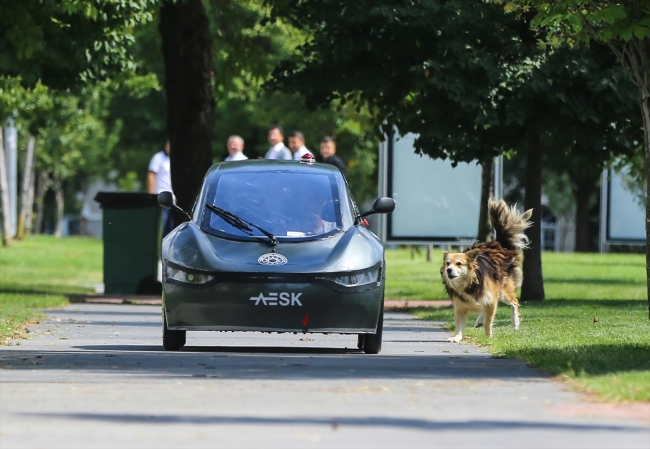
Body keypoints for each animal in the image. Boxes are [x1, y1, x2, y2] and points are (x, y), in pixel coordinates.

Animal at [440, 198, 532, 342]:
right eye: (447, 263)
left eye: (459, 264)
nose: (449, 270)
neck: (469, 283)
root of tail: (499, 243)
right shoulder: (460, 306)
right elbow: (459, 324)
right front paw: (457, 337)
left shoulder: (491, 300)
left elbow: (489, 321)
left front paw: (489, 336)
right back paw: (479, 320)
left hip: (503, 291)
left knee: (514, 302)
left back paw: (515, 323)